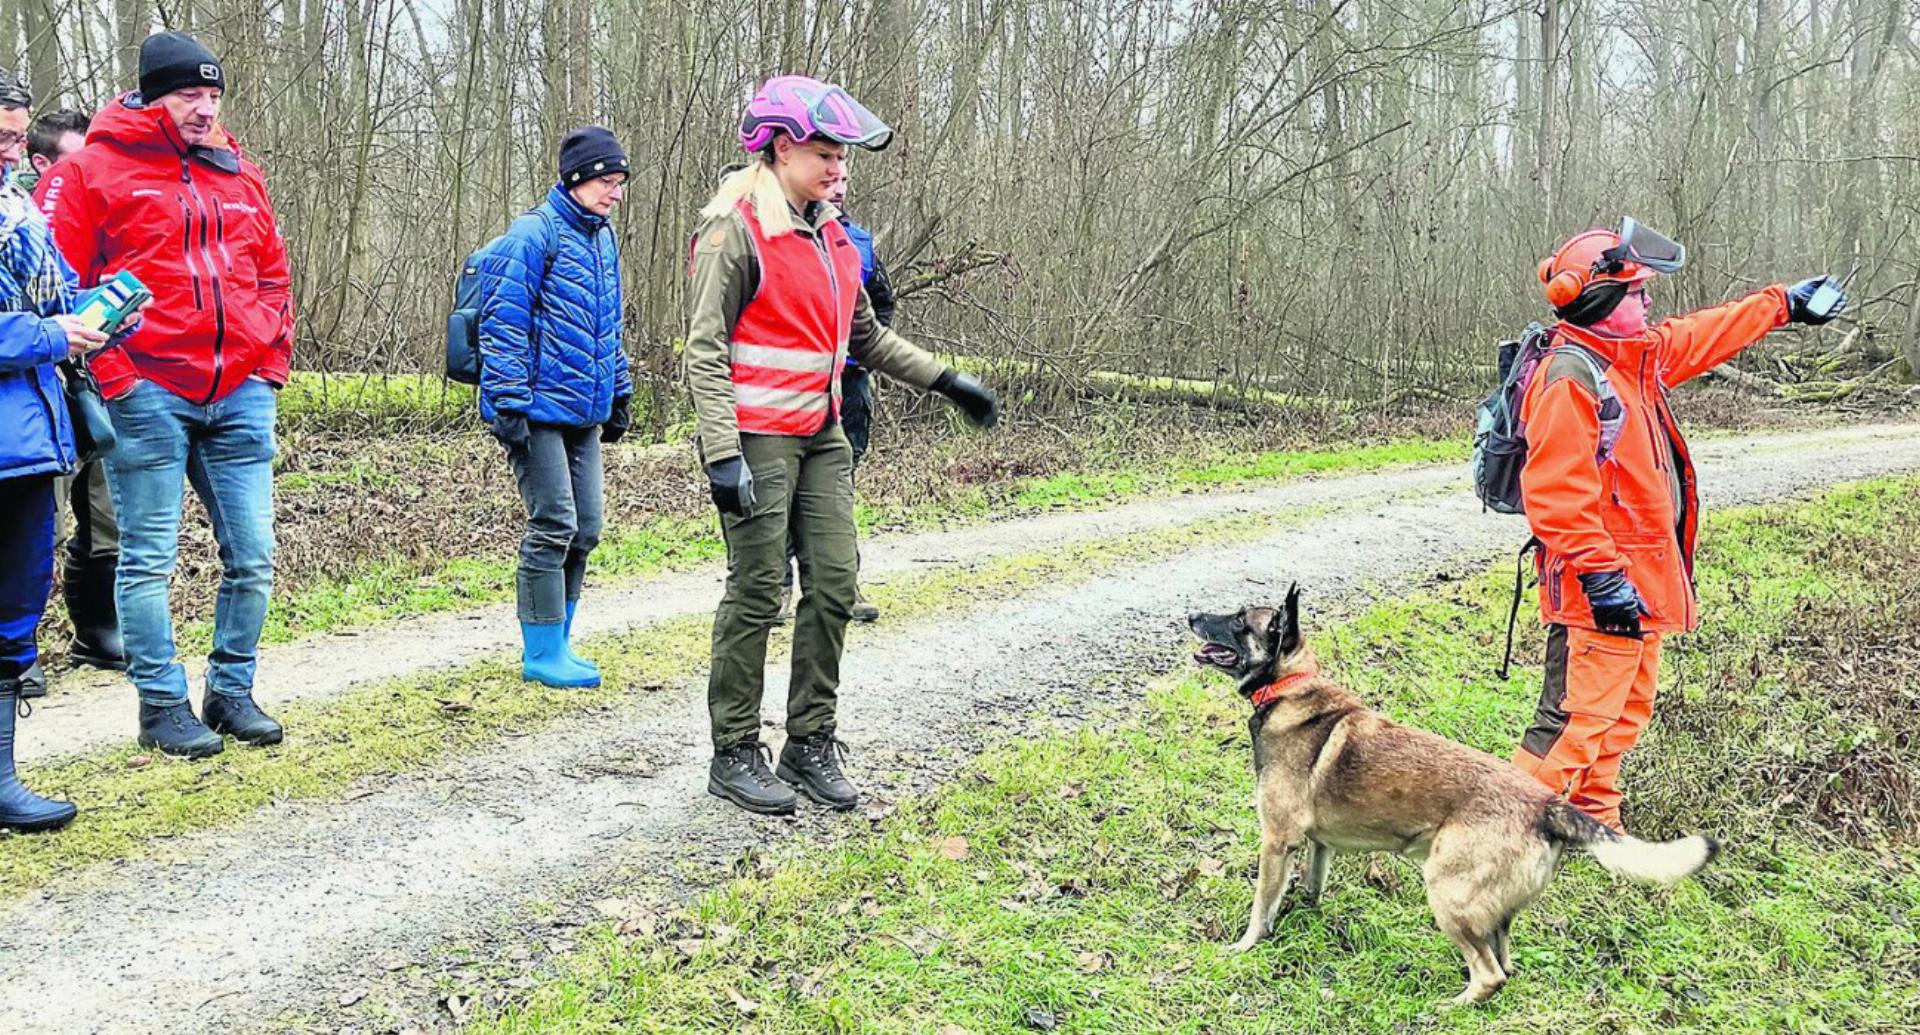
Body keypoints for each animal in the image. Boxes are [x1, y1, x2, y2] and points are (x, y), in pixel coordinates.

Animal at [1190, 587, 1720, 1006]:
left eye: (1239, 620)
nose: (1192, 616)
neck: (1289, 686)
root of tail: (1547, 805)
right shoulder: (1318, 844)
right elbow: (1310, 885)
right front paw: (1305, 912)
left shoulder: (1275, 841)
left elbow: (1260, 905)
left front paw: (1246, 944)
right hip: (1490, 913)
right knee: (1504, 966)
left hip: (1447, 893)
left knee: (1488, 975)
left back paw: (1449, 1006)